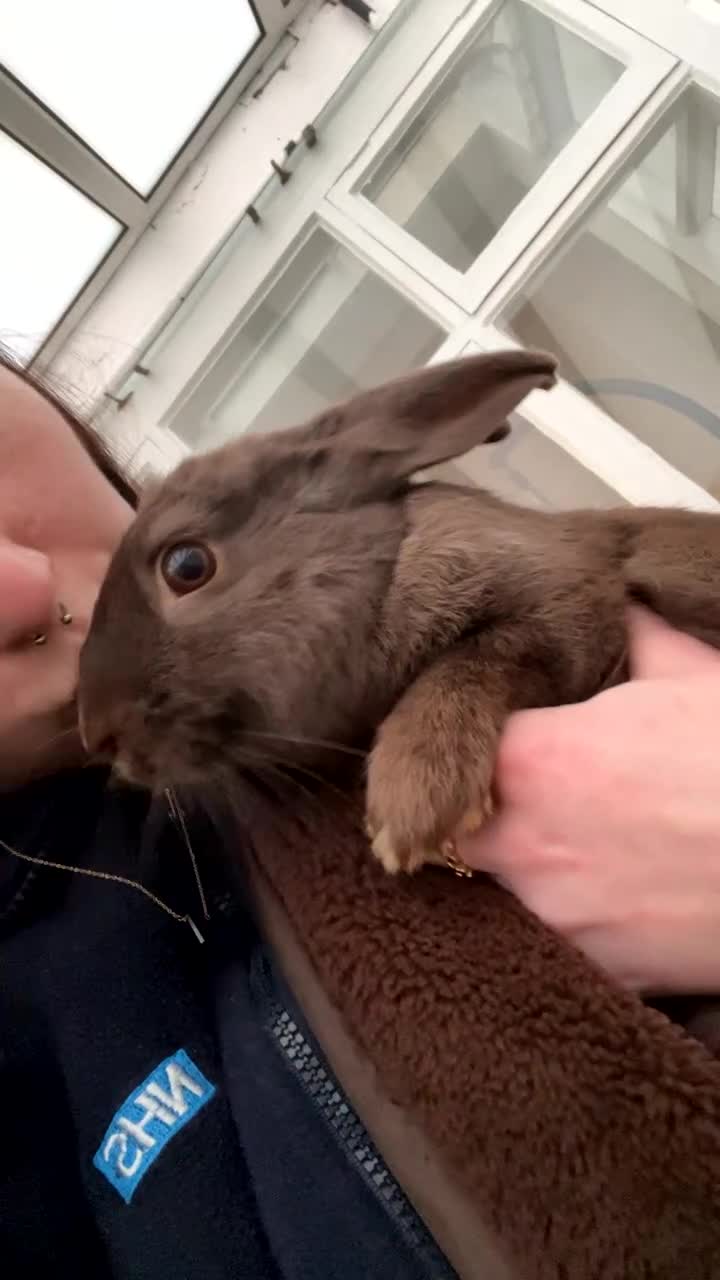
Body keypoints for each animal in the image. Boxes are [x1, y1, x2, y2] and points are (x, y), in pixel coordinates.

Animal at [78, 348, 720, 876]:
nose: (98, 737)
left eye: (187, 565)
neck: (389, 571)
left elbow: (488, 654)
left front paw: (413, 800)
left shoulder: (575, 606)